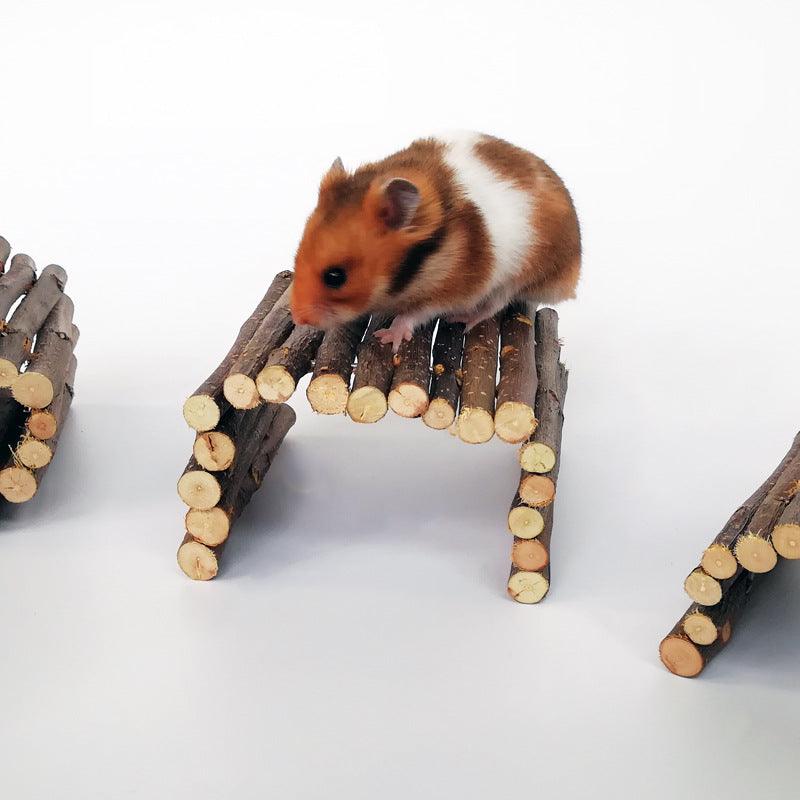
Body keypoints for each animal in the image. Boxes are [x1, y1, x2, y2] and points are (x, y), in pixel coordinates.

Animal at [291, 132, 581, 351]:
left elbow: (415, 313)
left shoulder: (451, 289)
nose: (298, 318)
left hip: (518, 276)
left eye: (335, 277)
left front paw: (387, 338)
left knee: (494, 304)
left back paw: (463, 319)